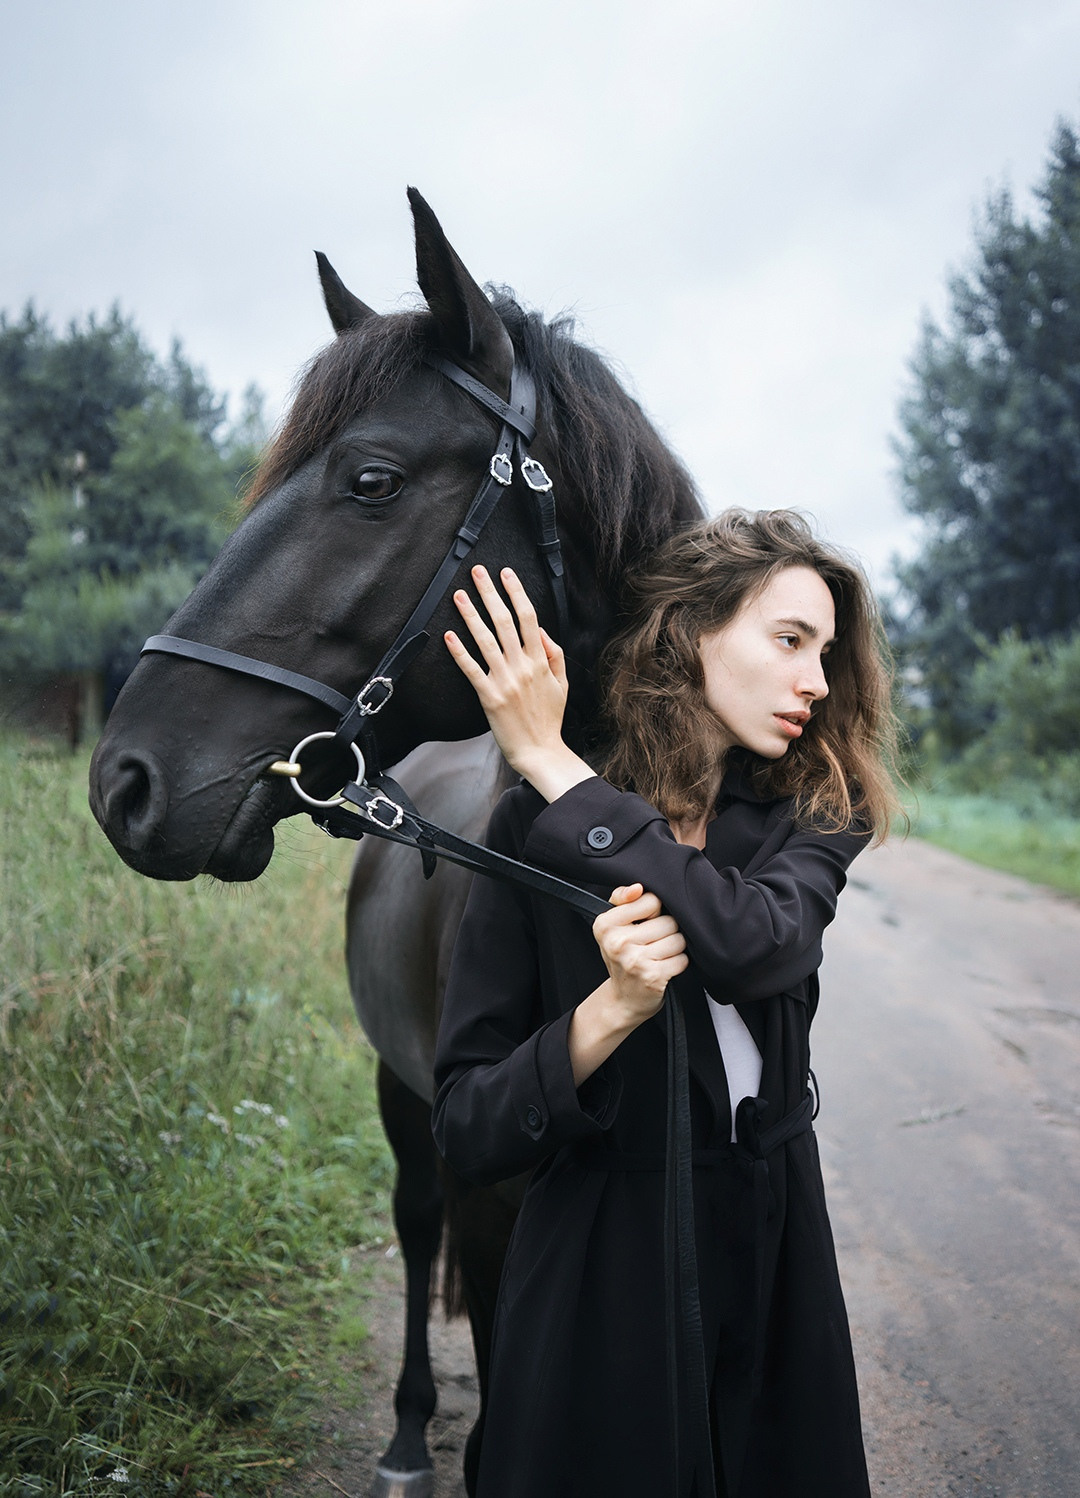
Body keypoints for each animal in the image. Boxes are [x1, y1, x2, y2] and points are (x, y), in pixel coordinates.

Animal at [89, 188, 702, 1496]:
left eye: (371, 479)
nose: (126, 779)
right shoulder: (490, 1172)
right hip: (404, 1103)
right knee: (418, 1228)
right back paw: (413, 1430)